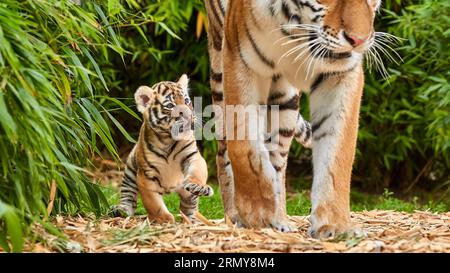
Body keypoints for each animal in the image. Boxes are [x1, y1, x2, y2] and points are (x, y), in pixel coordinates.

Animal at [206, 0, 382, 236]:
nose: (358, 41)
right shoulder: (240, 60)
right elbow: (244, 147)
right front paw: (256, 213)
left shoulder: (341, 73)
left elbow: (338, 152)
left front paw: (336, 225)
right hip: (219, 70)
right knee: (225, 150)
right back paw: (235, 215)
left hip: (284, 99)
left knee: (278, 160)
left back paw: (280, 218)